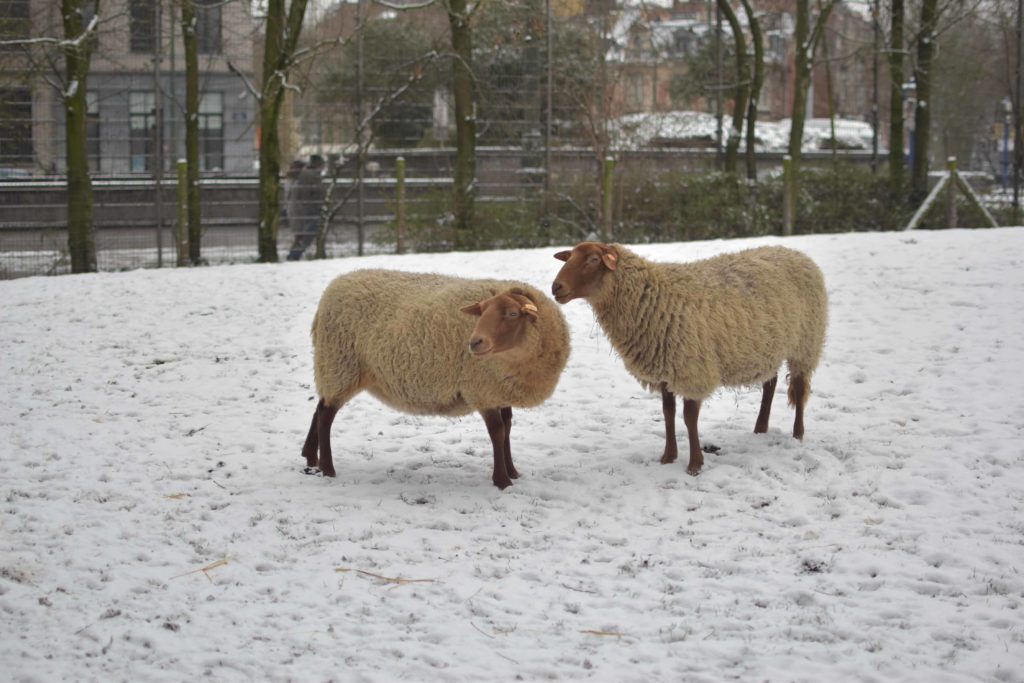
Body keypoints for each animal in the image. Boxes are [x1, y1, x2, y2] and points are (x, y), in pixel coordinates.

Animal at [301, 269, 570, 489]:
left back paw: (310, 458)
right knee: (325, 415)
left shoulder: (500, 390)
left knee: (319, 408)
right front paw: (502, 481)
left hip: (334, 368)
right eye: (481, 311)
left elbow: (507, 428)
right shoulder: (482, 389)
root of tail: (333, 287)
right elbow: (497, 432)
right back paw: (327, 469)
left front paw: (512, 472)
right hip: (340, 364)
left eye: (513, 313)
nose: (474, 343)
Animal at [551, 242, 827, 475]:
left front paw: (695, 464)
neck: (652, 297)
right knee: (770, 384)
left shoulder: (692, 368)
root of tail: (794, 252)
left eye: (594, 259)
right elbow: (668, 413)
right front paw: (668, 457)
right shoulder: (665, 369)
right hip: (769, 346)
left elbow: (688, 417)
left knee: (799, 388)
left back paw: (797, 434)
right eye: (570, 256)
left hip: (805, 344)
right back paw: (760, 429)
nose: (556, 287)